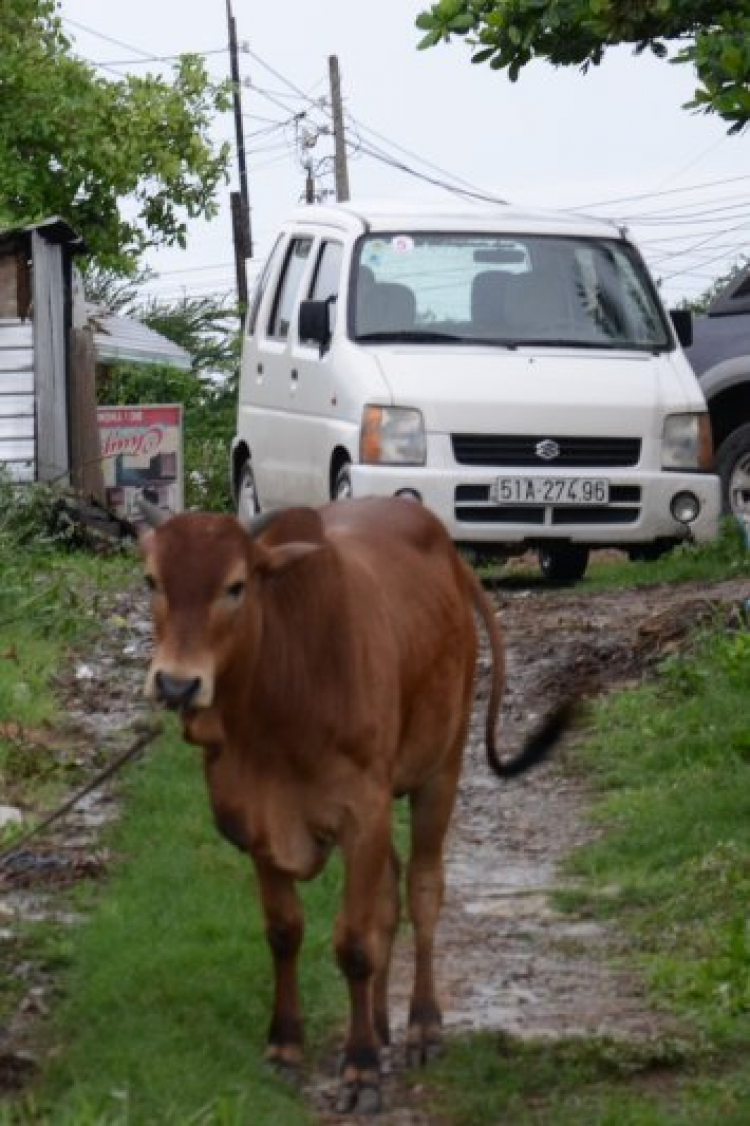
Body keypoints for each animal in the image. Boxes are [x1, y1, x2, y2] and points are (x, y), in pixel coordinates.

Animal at [138, 497, 572, 1112]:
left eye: (236, 586)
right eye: (151, 580)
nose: (176, 685)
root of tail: (450, 556)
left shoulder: (362, 815)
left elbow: (354, 943)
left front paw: (360, 1068)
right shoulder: (258, 823)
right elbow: (285, 931)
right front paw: (286, 1046)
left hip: (440, 769)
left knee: (422, 891)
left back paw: (421, 1027)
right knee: (389, 893)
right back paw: (382, 1021)